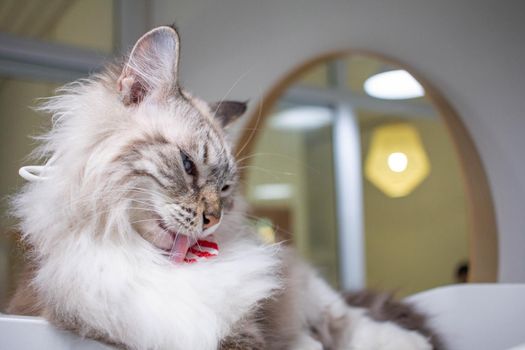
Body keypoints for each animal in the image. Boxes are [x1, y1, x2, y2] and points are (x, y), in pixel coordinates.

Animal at [7, 25, 434, 350]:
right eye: (188, 166)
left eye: (226, 187)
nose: (212, 219)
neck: (162, 264)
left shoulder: (249, 323)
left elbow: (304, 338)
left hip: (308, 288)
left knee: (349, 320)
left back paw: (415, 342)